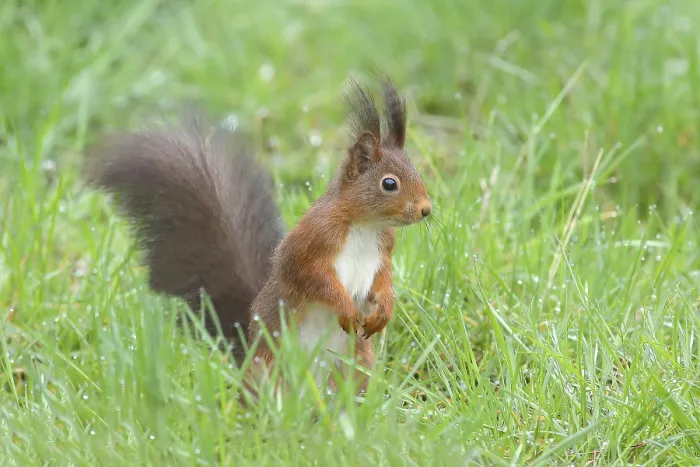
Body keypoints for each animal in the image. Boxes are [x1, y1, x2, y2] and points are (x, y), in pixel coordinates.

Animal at [85, 77, 431, 398]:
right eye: (389, 183)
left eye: (417, 171)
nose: (426, 210)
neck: (365, 225)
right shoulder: (310, 242)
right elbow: (311, 278)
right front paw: (345, 307)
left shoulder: (382, 250)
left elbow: (383, 280)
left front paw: (384, 311)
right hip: (270, 366)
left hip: (356, 363)